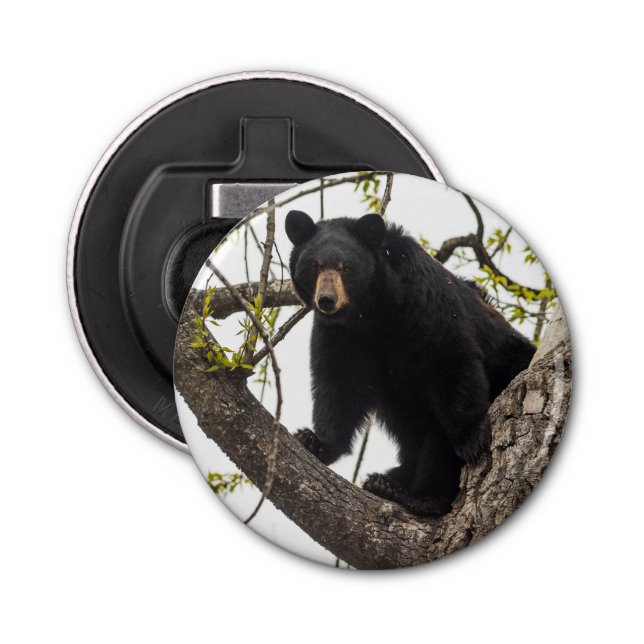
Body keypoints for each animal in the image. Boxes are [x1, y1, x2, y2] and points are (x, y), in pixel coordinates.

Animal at [285, 210, 536, 516]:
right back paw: (387, 481)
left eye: (346, 268)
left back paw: (418, 495)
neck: (371, 311)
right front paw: (315, 441)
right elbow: (339, 385)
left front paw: (471, 439)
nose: (327, 300)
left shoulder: (424, 302)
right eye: (314, 266)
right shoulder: (340, 335)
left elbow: (450, 360)